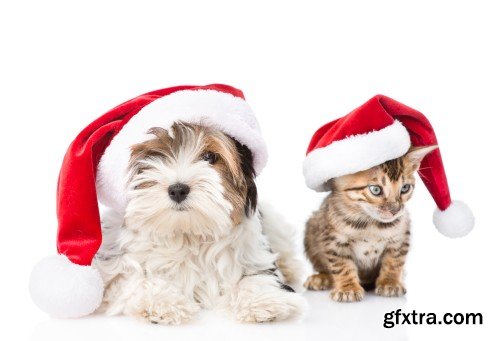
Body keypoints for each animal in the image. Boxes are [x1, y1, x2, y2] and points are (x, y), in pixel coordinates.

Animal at [94, 122, 304, 324]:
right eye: (154, 156)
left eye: (209, 157)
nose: (178, 190)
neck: (188, 233)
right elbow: (136, 278)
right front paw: (163, 302)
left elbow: (256, 277)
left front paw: (263, 301)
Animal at [302, 145, 436, 302]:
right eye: (376, 189)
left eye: (405, 188)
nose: (395, 210)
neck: (370, 222)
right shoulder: (334, 240)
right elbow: (342, 265)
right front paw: (348, 288)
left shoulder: (401, 235)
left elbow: (394, 261)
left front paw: (390, 283)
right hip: (312, 227)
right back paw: (322, 278)